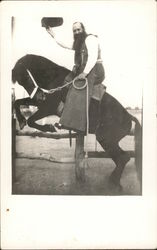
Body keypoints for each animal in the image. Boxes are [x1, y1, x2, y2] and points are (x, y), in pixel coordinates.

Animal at [11, 53, 142, 190]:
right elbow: (18, 102)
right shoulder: (41, 103)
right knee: (122, 158)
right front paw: (21, 120)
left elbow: (31, 120)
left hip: (106, 139)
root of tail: (129, 117)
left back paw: (114, 182)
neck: (54, 79)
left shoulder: (48, 107)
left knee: (123, 158)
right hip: (109, 141)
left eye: (26, 77)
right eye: (20, 81)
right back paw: (113, 180)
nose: (39, 96)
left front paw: (48, 127)